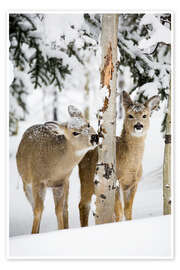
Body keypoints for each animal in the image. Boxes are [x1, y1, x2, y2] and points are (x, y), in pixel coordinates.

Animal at [16, 105, 98, 234]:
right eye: (75, 132)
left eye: (88, 124)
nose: (94, 137)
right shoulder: (37, 180)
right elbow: (38, 210)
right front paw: (33, 233)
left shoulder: (61, 182)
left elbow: (59, 209)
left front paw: (60, 230)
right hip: (26, 183)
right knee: (35, 208)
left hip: (66, 183)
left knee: (65, 208)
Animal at [78, 90, 160, 226]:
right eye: (130, 115)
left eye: (145, 115)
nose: (138, 126)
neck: (130, 166)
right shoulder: (114, 181)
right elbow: (119, 213)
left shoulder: (132, 183)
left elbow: (128, 211)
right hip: (86, 179)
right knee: (83, 204)